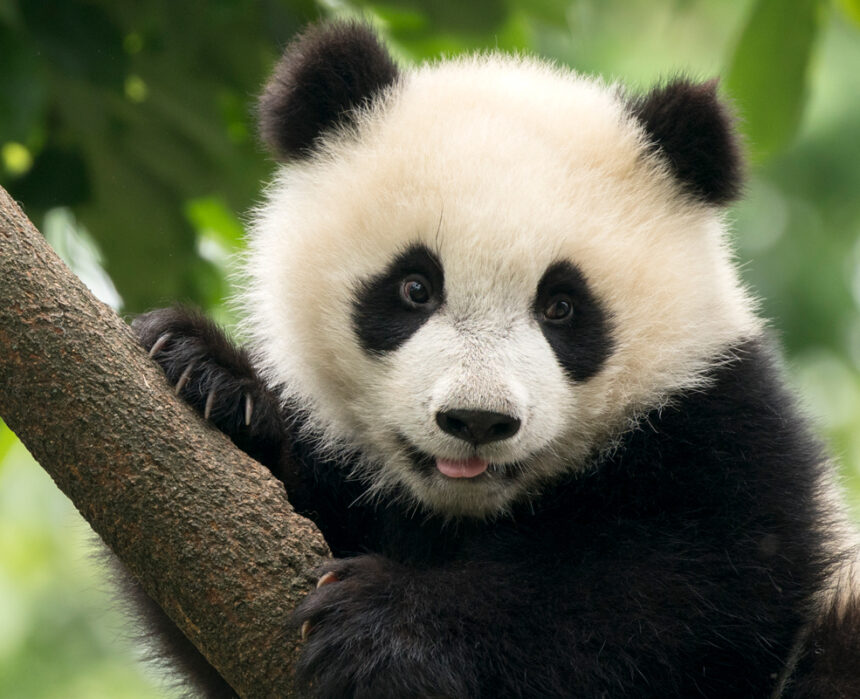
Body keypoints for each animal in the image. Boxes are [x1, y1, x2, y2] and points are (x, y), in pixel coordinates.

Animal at [131, 20, 860, 699]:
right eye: (415, 287)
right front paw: (210, 377)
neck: (466, 509)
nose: (477, 420)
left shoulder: (724, 428)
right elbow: (217, 598)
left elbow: (676, 601)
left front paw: (385, 626)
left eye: (561, 306)